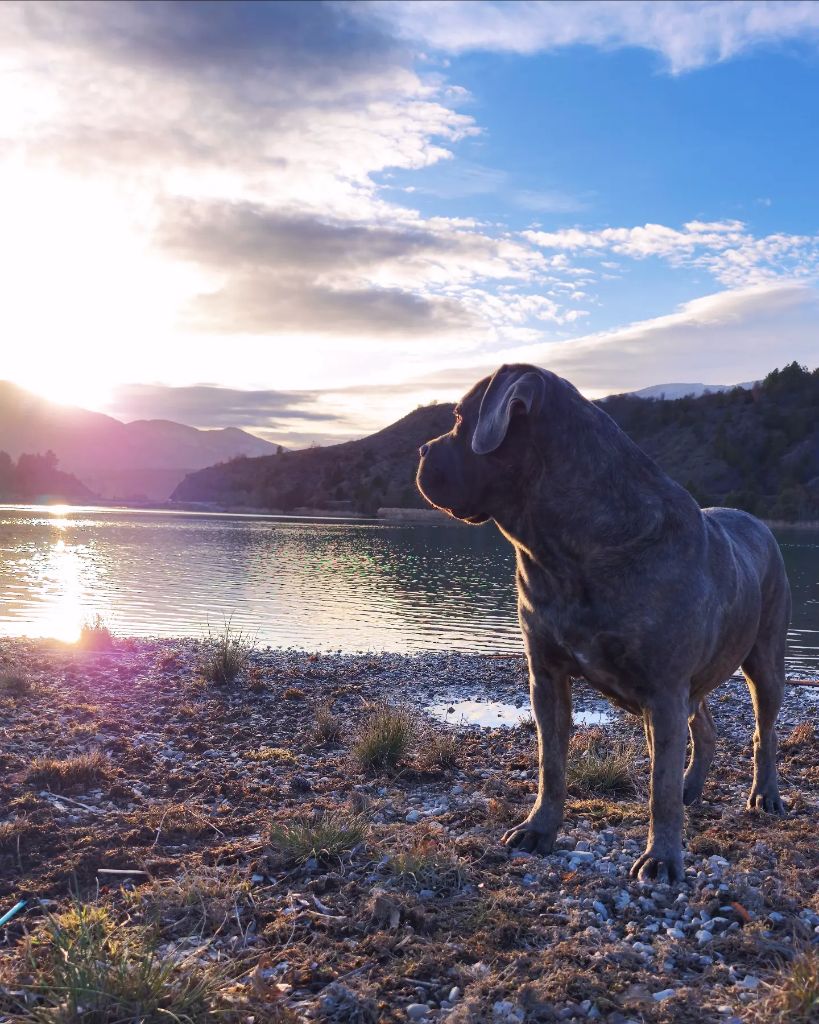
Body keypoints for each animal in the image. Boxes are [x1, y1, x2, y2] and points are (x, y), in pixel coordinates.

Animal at [419, 360, 790, 880]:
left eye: (458, 417)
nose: (421, 450)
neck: (566, 548)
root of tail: (756, 522)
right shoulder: (547, 676)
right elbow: (551, 763)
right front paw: (539, 828)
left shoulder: (664, 688)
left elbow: (659, 788)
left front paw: (662, 857)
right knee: (706, 727)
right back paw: (692, 785)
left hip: (764, 661)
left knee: (764, 732)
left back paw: (765, 794)